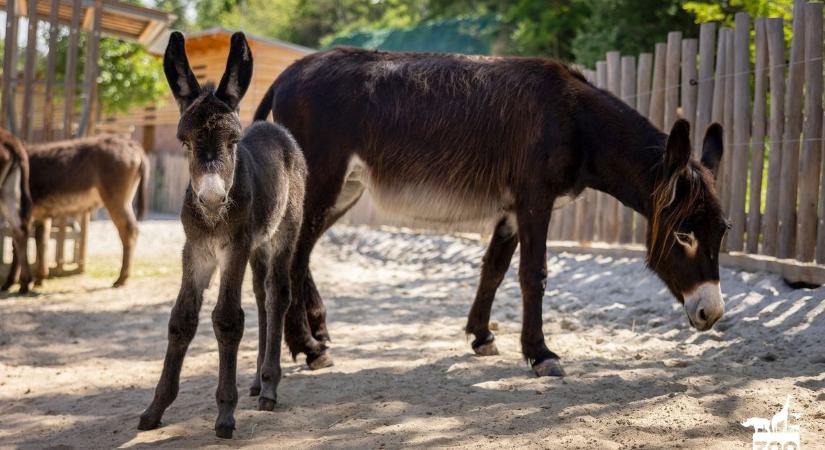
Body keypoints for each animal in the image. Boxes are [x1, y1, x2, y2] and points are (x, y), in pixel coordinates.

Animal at [138, 31, 306, 440]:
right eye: (185, 143)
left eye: (233, 142)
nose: (213, 198)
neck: (213, 220)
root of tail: (275, 129)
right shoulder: (196, 250)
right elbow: (182, 319)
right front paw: (155, 410)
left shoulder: (234, 248)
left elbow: (227, 318)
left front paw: (226, 414)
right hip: (260, 245)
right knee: (262, 297)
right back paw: (258, 381)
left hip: (283, 234)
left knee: (278, 296)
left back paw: (270, 387)